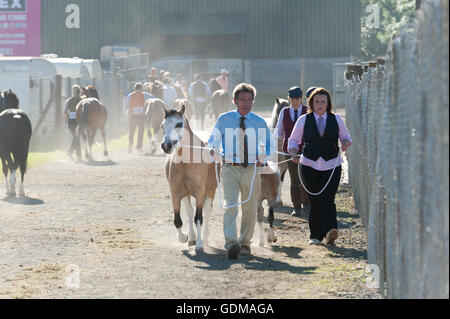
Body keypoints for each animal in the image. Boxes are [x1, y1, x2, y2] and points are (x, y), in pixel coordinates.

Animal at [162, 105, 218, 255]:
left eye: (178, 124)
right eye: (163, 125)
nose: (166, 145)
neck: (187, 162)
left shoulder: (200, 193)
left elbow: (199, 218)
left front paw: (199, 245)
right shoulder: (176, 193)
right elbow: (178, 219)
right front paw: (185, 237)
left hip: (210, 191)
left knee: (206, 211)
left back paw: (204, 238)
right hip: (186, 194)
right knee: (189, 211)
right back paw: (192, 238)